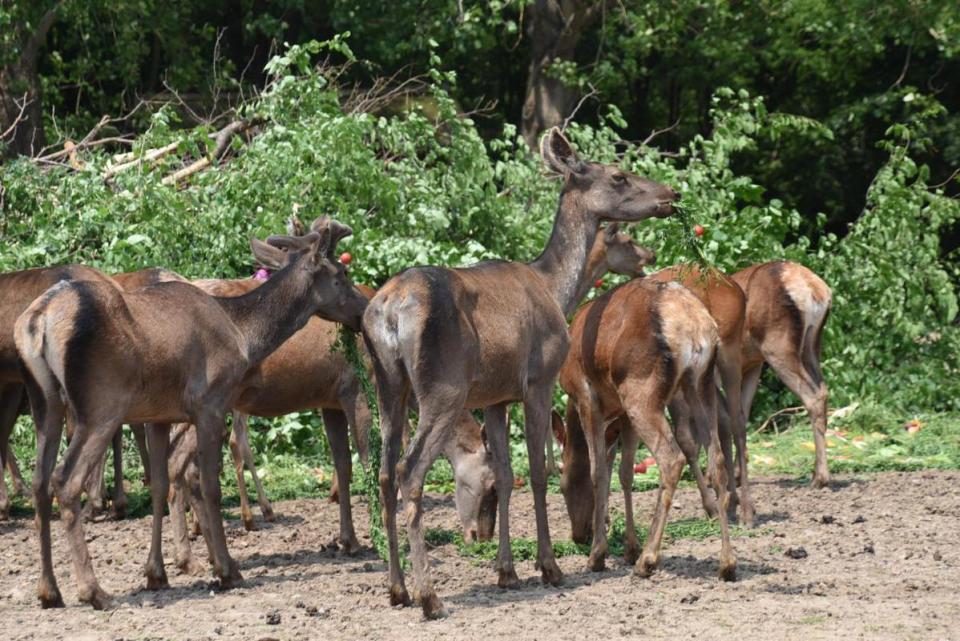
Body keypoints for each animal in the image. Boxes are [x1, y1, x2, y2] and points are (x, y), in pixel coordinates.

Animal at [15, 218, 368, 608]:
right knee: (65, 480)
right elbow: (210, 484)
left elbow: (159, 484)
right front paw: (227, 570)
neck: (244, 334)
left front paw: (156, 573)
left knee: (39, 482)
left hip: (45, 403)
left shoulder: (159, 415)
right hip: (100, 406)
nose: (364, 307)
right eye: (342, 273)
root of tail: (37, 321)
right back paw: (93, 590)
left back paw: (49, 590)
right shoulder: (210, 403)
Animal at [364, 127, 680, 616]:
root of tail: (390, 312)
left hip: (388, 382)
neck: (556, 288)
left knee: (382, 472)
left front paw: (507, 572)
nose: (670, 193)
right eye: (618, 175)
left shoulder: (496, 398)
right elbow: (537, 471)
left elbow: (506, 475)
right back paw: (429, 595)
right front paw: (550, 567)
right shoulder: (538, 380)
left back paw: (397, 589)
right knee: (408, 470)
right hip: (443, 387)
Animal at [552, 278, 740, 576]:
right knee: (717, 459)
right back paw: (727, 563)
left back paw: (648, 559)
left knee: (671, 458)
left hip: (641, 390)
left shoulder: (586, 398)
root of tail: (692, 325)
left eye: (563, 486)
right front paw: (628, 547)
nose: (578, 536)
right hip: (701, 383)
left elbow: (599, 472)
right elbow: (625, 473)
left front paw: (598, 554)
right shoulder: (622, 417)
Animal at [728, 260, 832, 484]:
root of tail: (816, 291)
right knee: (823, 390)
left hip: (777, 348)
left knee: (813, 395)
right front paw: (739, 474)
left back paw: (820, 477)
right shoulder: (751, 365)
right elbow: (740, 415)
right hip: (811, 345)